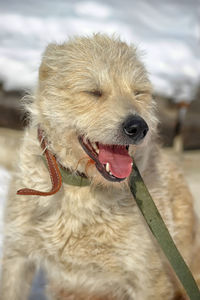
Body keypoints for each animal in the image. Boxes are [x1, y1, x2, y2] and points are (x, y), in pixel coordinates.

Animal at [0, 34, 199, 298]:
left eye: (138, 93)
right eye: (94, 92)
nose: (138, 127)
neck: (82, 187)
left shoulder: (150, 279)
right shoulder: (18, 255)